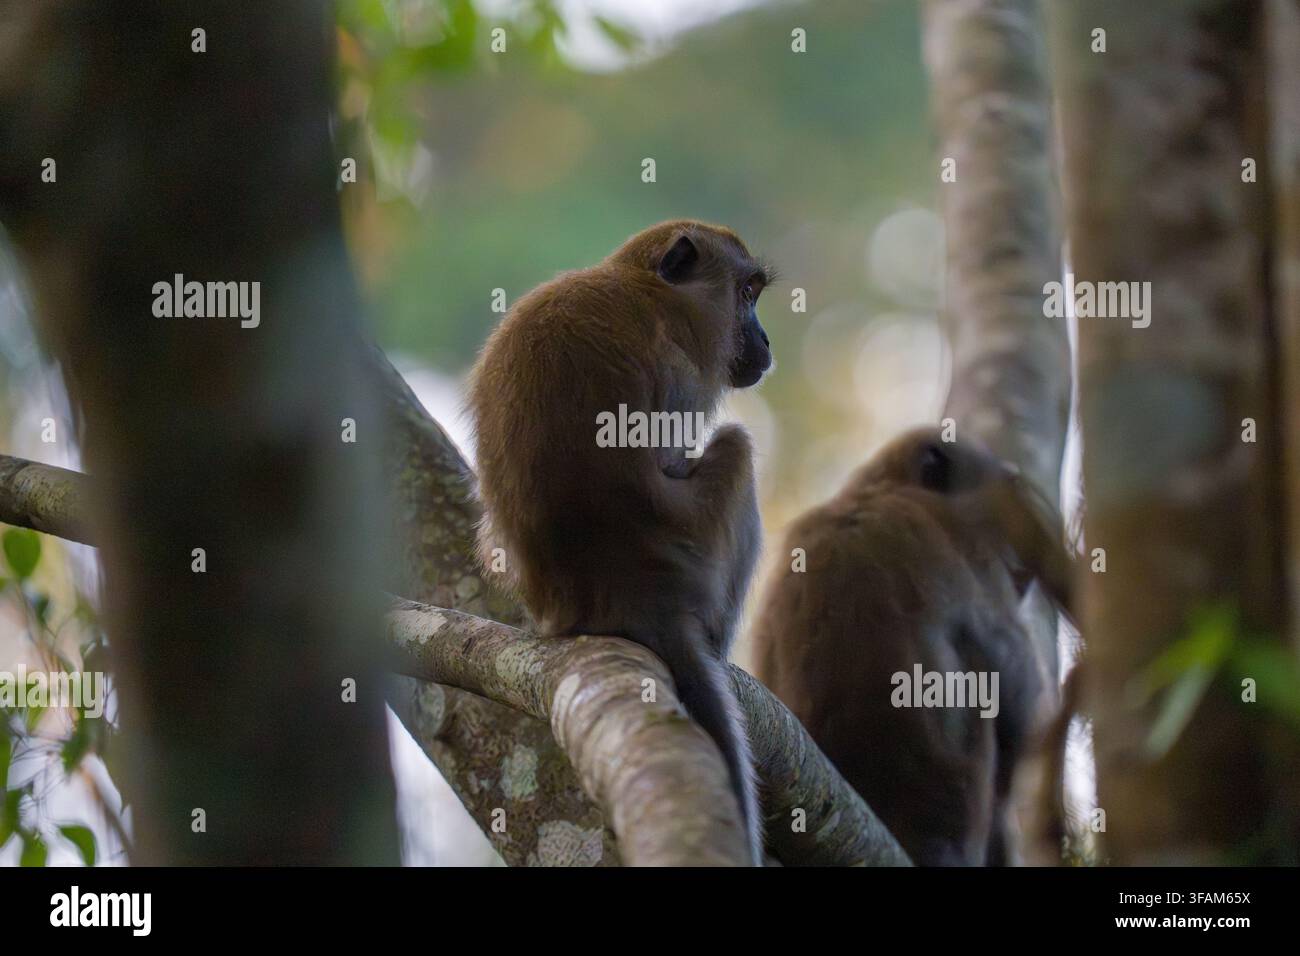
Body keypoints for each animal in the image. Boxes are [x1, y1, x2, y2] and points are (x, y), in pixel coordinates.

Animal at [468, 220, 774, 863]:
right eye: (747, 294)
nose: (765, 337)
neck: (645, 288)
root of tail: (636, 591)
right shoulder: (681, 370)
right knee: (735, 449)